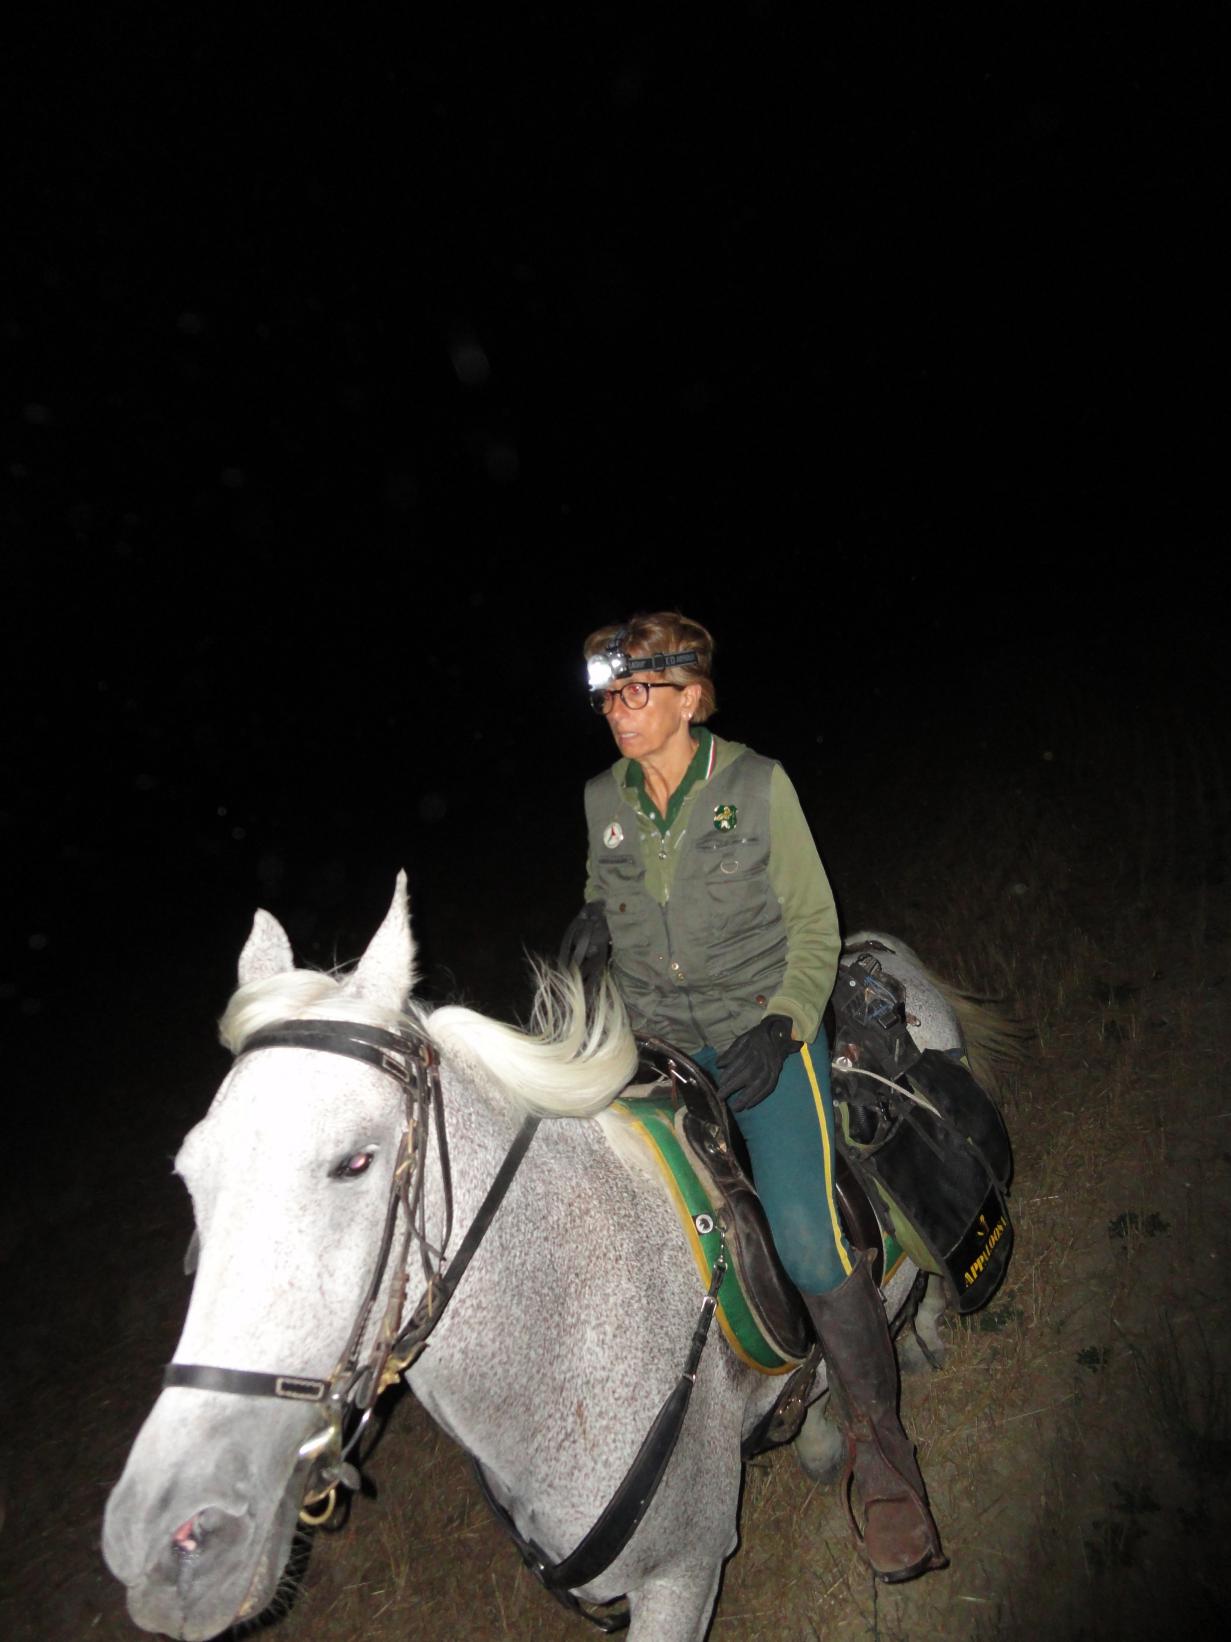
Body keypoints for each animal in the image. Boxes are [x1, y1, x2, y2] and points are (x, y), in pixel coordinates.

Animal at [103, 875, 1007, 1641]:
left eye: (354, 1162)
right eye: (191, 1173)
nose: (167, 1542)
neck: (569, 1326)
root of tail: (872, 949)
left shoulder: (681, 1578)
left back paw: (920, 1354)